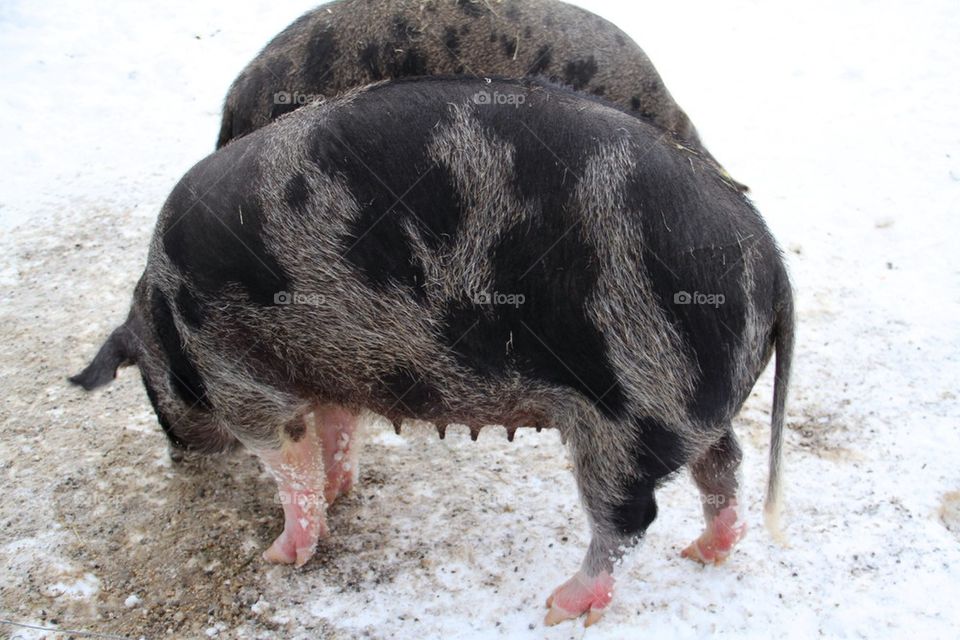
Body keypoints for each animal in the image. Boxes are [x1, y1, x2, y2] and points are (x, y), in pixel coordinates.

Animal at [71, 76, 793, 626]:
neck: (165, 310)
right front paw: (338, 491)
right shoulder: (334, 372)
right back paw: (703, 553)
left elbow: (289, 460)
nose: (178, 455)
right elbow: (338, 433)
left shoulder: (237, 372)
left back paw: (559, 606)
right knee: (722, 465)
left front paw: (280, 555)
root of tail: (771, 265)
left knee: (631, 515)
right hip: (684, 403)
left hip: (630, 406)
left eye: (147, 382)